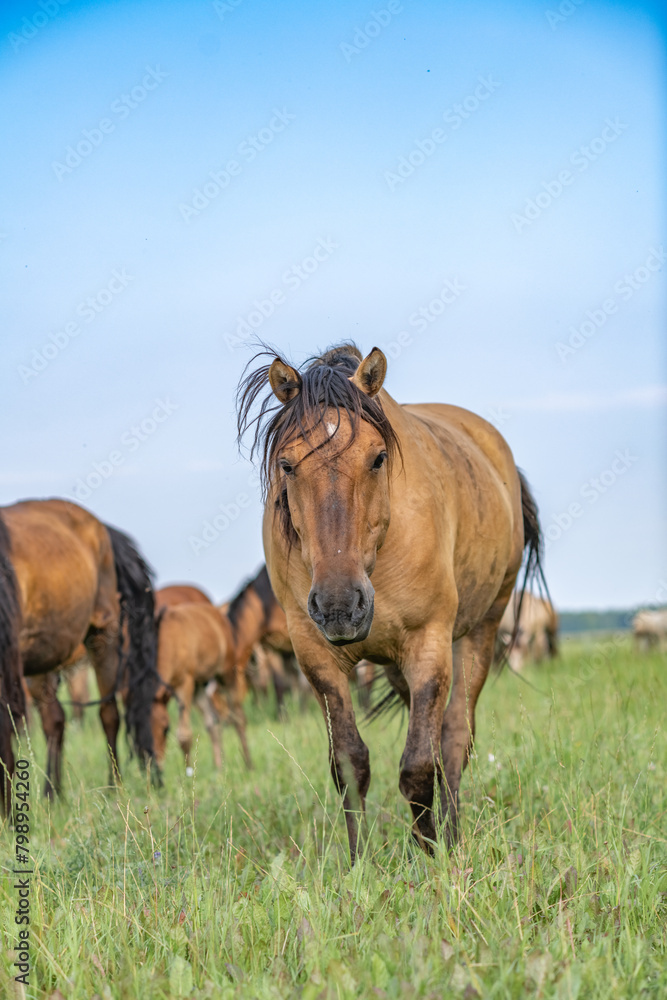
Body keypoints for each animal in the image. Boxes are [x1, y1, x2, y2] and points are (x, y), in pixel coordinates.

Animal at [0, 498, 158, 803]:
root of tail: (102, 528)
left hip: (103, 636)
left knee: (109, 715)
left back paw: (113, 788)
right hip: (42, 656)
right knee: (55, 720)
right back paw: (52, 795)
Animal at [152, 588, 252, 770]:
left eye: (166, 729)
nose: (157, 766)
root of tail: (217, 612)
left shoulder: (184, 683)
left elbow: (184, 736)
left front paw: (188, 773)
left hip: (226, 675)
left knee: (238, 717)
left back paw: (249, 764)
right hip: (199, 687)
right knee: (213, 723)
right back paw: (219, 768)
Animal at [237, 343, 546, 861]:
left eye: (378, 457)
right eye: (287, 464)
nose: (340, 606)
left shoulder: (429, 646)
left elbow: (419, 765)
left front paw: (433, 857)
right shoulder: (316, 656)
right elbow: (350, 765)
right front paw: (360, 862)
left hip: (481, 631)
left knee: (454, 738)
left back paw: (454, 833)